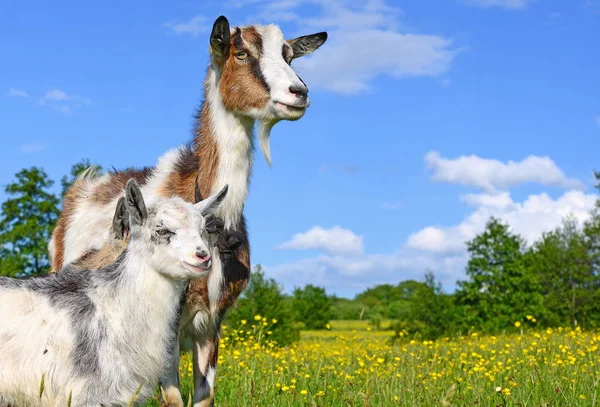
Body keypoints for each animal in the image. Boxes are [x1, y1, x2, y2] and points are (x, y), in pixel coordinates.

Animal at [48, 14, 326, 407]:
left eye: (289, 55)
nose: (298, 92)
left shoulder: (212, 322)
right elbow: (173, 400)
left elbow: (204, 397)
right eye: (241, 52)